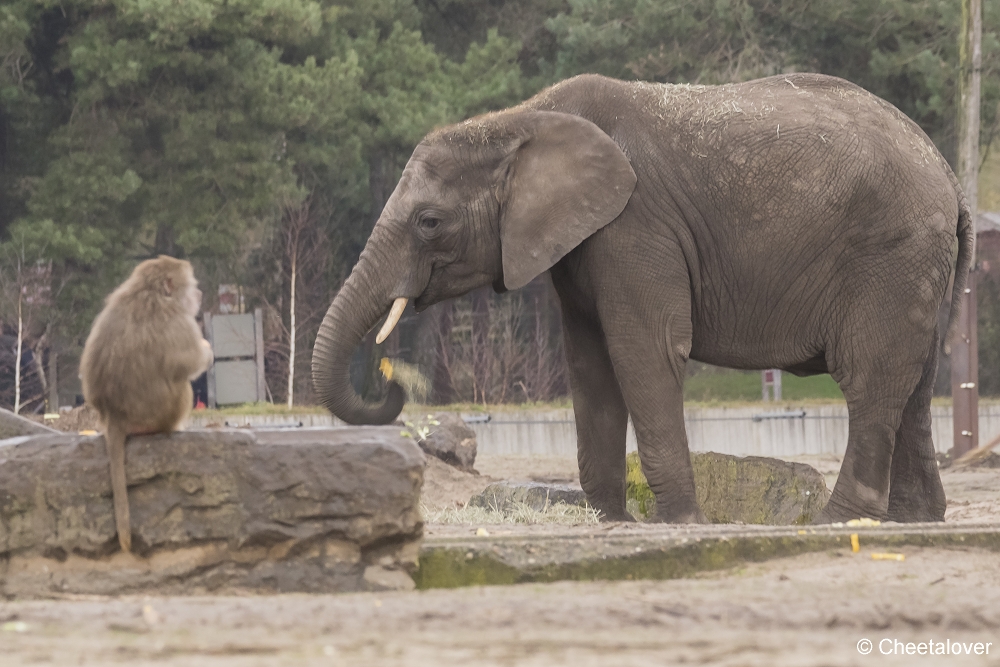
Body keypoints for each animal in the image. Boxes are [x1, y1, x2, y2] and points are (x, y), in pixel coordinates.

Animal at [310, 73, 968, 528]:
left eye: (429, 222)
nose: (393, 380)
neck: (522, 119)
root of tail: (947, 170)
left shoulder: (634, 226)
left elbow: (644, 353)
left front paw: (681, 523)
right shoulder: (580, 243)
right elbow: (591, 364)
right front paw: (611, 521)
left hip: (890, 253)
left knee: (870, 379)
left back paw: (838, 522)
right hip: (916, 265)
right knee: (913, 385)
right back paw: (917, 520)